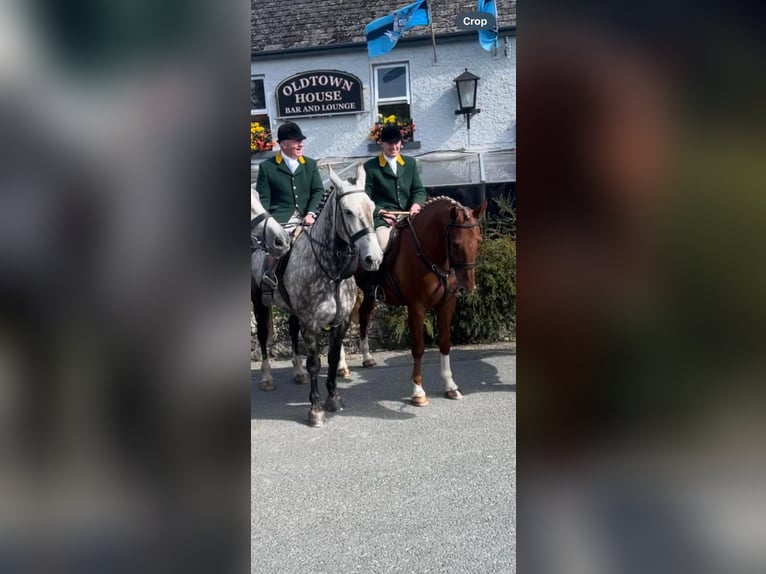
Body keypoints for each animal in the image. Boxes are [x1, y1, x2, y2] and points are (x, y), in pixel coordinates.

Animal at [252, 166, 384, 428]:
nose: (373, 258)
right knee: (262, 338)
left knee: (291, 331)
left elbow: (332, 359)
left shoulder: (341, 322)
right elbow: (315, 363)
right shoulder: (310, 324)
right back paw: (267, 377)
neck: (332, 271)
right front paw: (315, 409)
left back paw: (297, 372)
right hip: (259, 307)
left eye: (371, 206)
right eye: (347, 211)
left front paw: (333, 398)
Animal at [358, 196, 486, 408]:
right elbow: (418, 348)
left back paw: (367, 358)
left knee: (364, 315)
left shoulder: (447, 304)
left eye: (479, 241)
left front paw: (451, 386)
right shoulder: (416, 308)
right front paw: (418, 391)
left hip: (369, 295)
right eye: (456, 244)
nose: (468, 287)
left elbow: (444, 343)